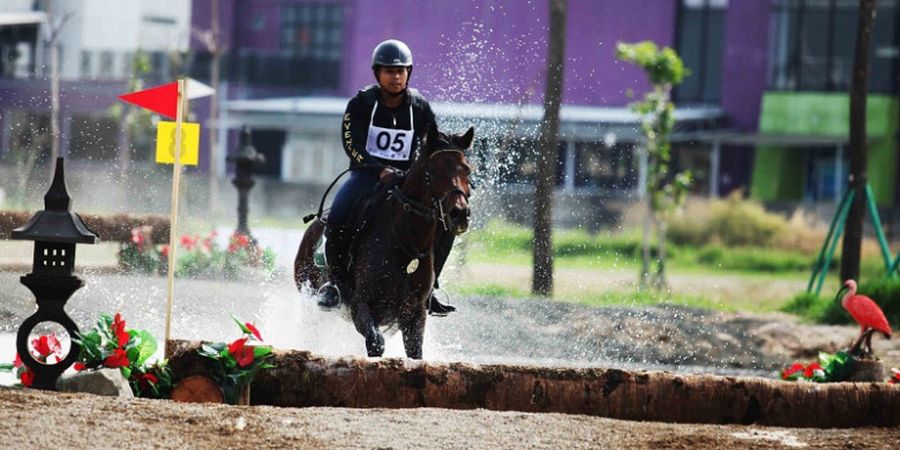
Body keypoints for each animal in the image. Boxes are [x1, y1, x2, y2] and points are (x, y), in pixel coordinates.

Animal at [298, 126, 478, 358]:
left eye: (467, 170)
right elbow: (376, 344)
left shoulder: (414, 315)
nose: (460, 214)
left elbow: (415, 353)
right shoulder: (361, 306)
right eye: (432, 172)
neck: (406, 243)